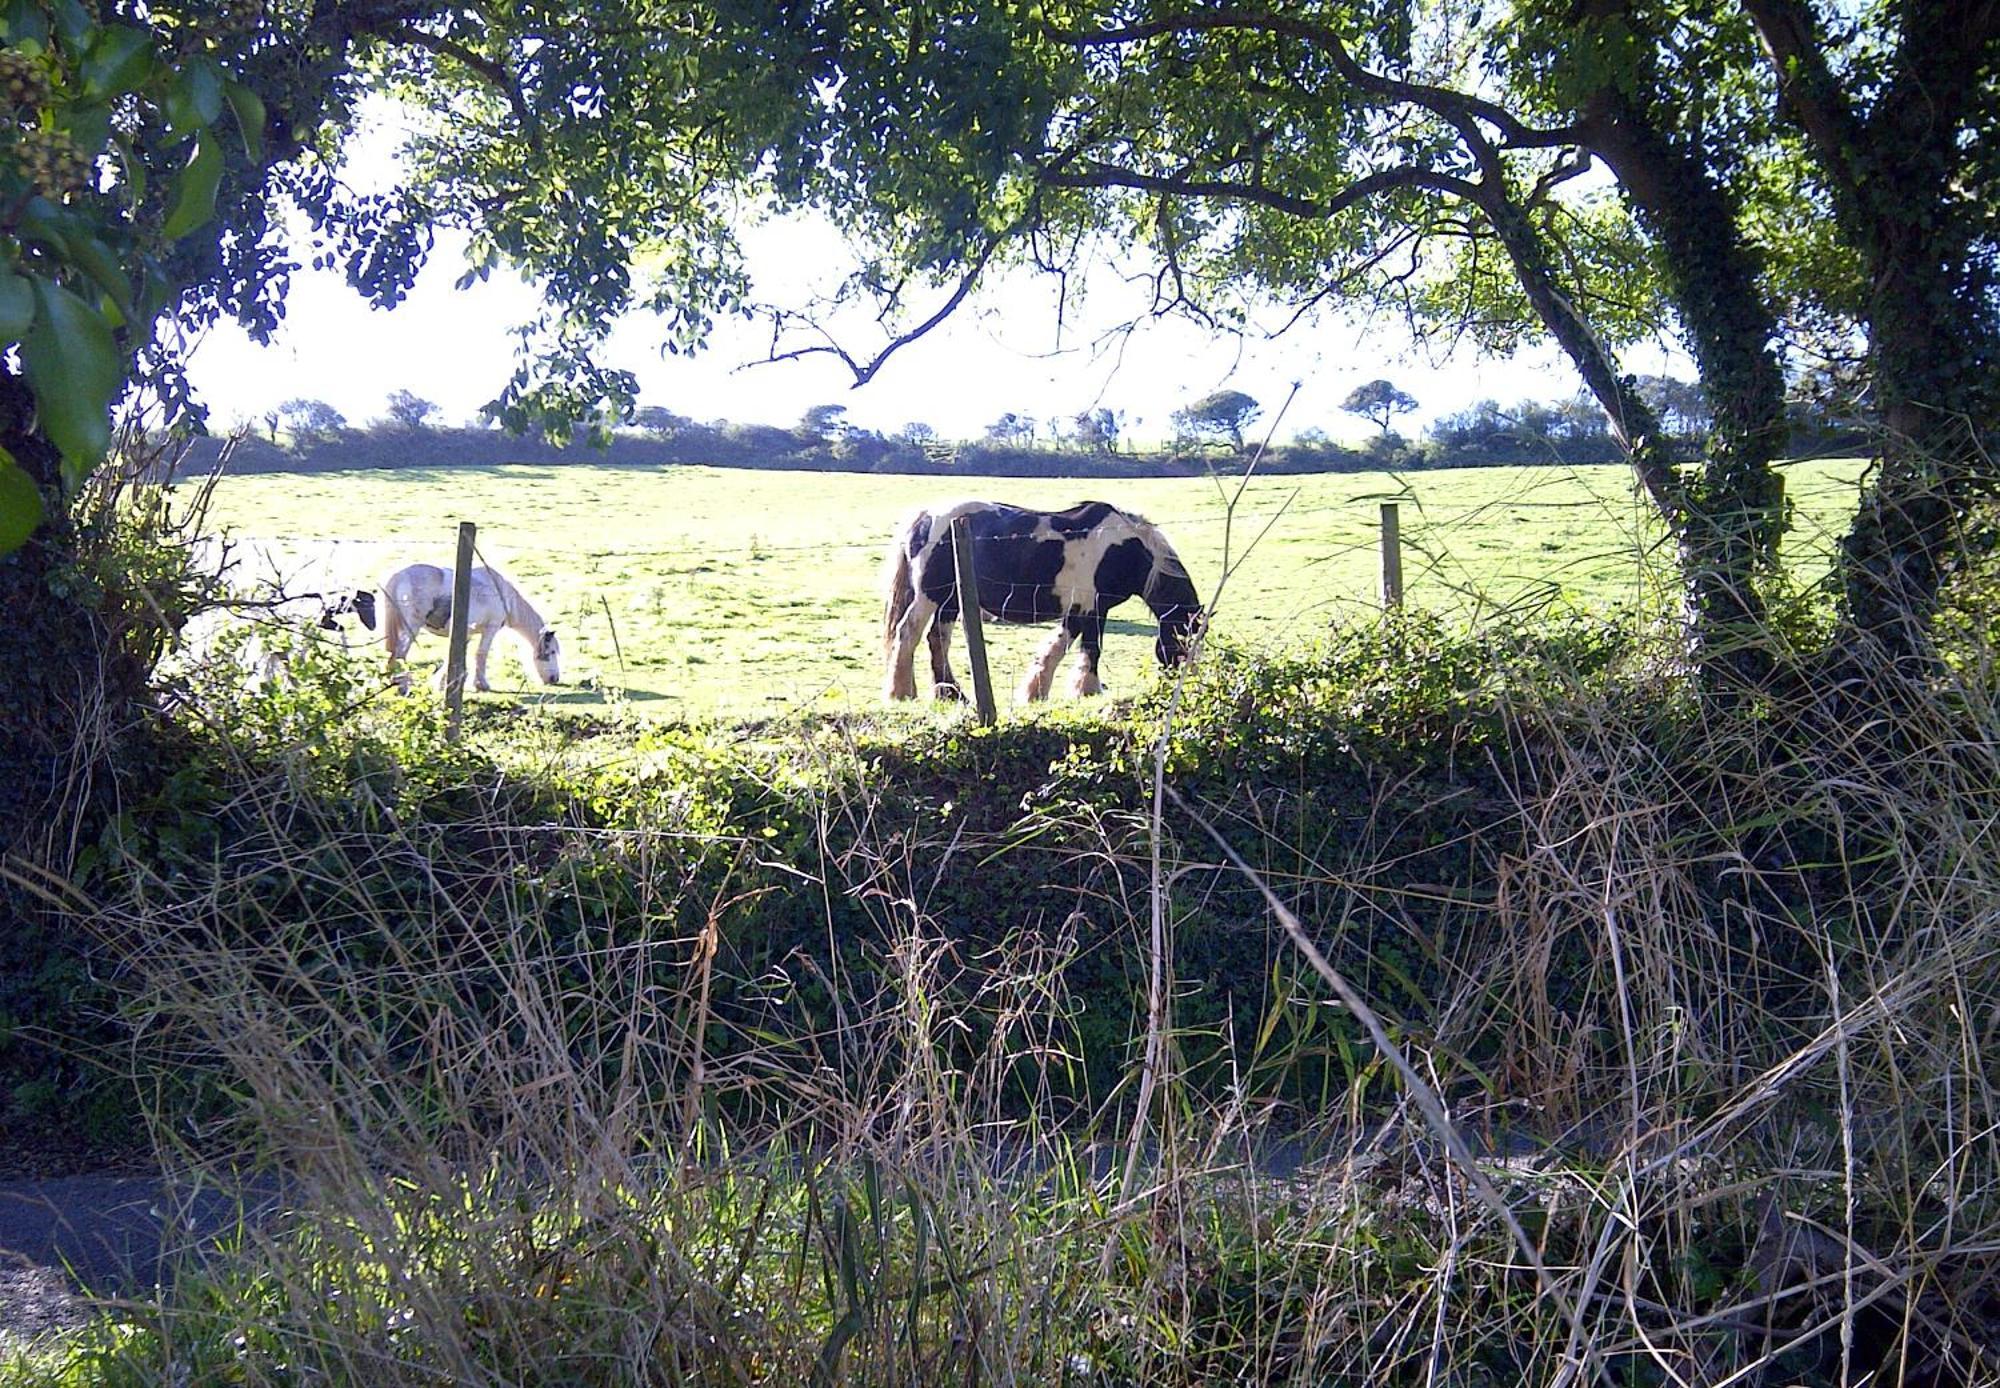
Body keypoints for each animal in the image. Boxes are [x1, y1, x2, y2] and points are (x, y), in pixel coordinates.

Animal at [368, 564, 564, 696]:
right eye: (552, 652)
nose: (555, 679)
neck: (501, 592)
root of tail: (399, 575)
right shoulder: (490, 629)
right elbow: (481, 654)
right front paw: (481, 684)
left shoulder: (465, 634)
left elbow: (451, 658)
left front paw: (441, 683)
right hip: (411, 628)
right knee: (400, 655)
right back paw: (403, 687)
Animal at [880, 500, 1192, 700]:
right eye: (1184, 642)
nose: (1176, 687)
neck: (1125, 548)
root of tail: (925, 517)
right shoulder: (1087, 607)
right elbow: (1080, 648)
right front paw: (1074, 690)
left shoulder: (1089, 608)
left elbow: (1072, 647)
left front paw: (1050, 690)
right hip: (930, 596)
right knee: (908, 633)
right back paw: (902, 692)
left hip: (950, 601)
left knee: (937, 639)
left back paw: (950, 694)